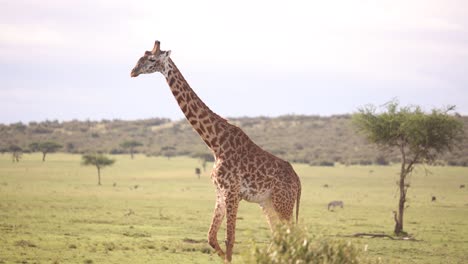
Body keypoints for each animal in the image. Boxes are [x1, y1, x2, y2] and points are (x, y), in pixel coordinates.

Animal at [130, 40, 302, 262]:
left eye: (151, 59)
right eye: (141, 56)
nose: (133, 71)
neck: (215, 143)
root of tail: (298, 180)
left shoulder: (232, 192)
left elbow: (229, 239)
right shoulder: (220, 192)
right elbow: (211, 237)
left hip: (283, 203)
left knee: (291, 237)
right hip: (268, 203)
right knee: (279, 237)